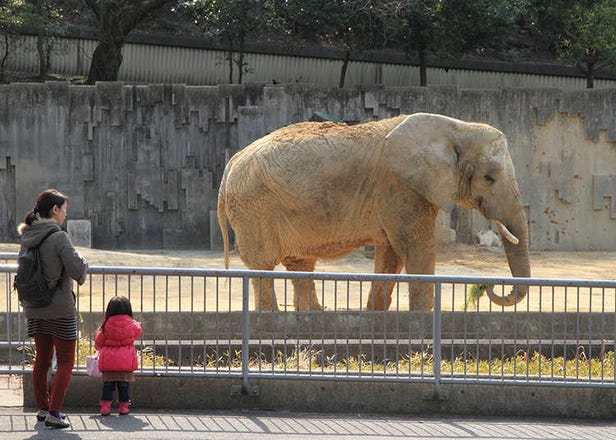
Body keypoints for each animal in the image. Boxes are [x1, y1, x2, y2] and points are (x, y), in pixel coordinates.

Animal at [217, 113, 528, 312]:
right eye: (489, 178)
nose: (487, 287)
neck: (456, 127)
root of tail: (231, 163)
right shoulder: (401, 188)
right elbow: (417, 249)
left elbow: (391, 255)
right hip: (254, 208)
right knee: (263, 266)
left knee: (300, 264)